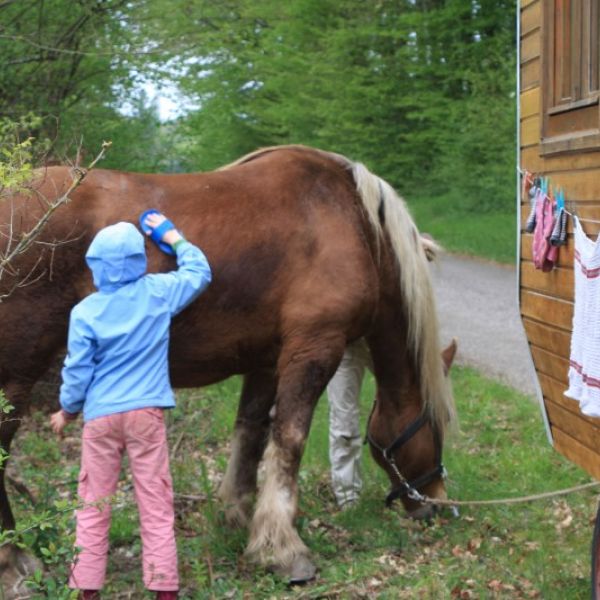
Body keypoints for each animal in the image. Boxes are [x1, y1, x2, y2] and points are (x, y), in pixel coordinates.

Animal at [1, 146, 454, 584]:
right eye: (440, 424)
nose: (436, 504)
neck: (353, 222)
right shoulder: (313, 350)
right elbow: (288, 440)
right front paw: (282, 548)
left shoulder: (267, 360)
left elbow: (251, 432)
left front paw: (238, 517)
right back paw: (13, 560)